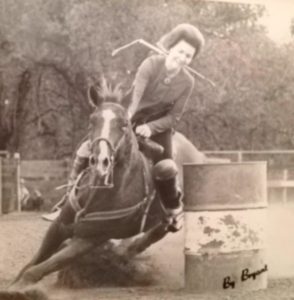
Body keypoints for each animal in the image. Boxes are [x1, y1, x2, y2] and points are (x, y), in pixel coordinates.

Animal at [10, 78, 204, 288]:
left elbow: (43, 266)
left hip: (167, 214)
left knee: (153, 234)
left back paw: (126, 253)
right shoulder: (60, 225)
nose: (100, 160)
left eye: (124, 124)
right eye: (92, 120)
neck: (99, 193)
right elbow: (36, 260)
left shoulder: (90, 239)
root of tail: (199, 155)